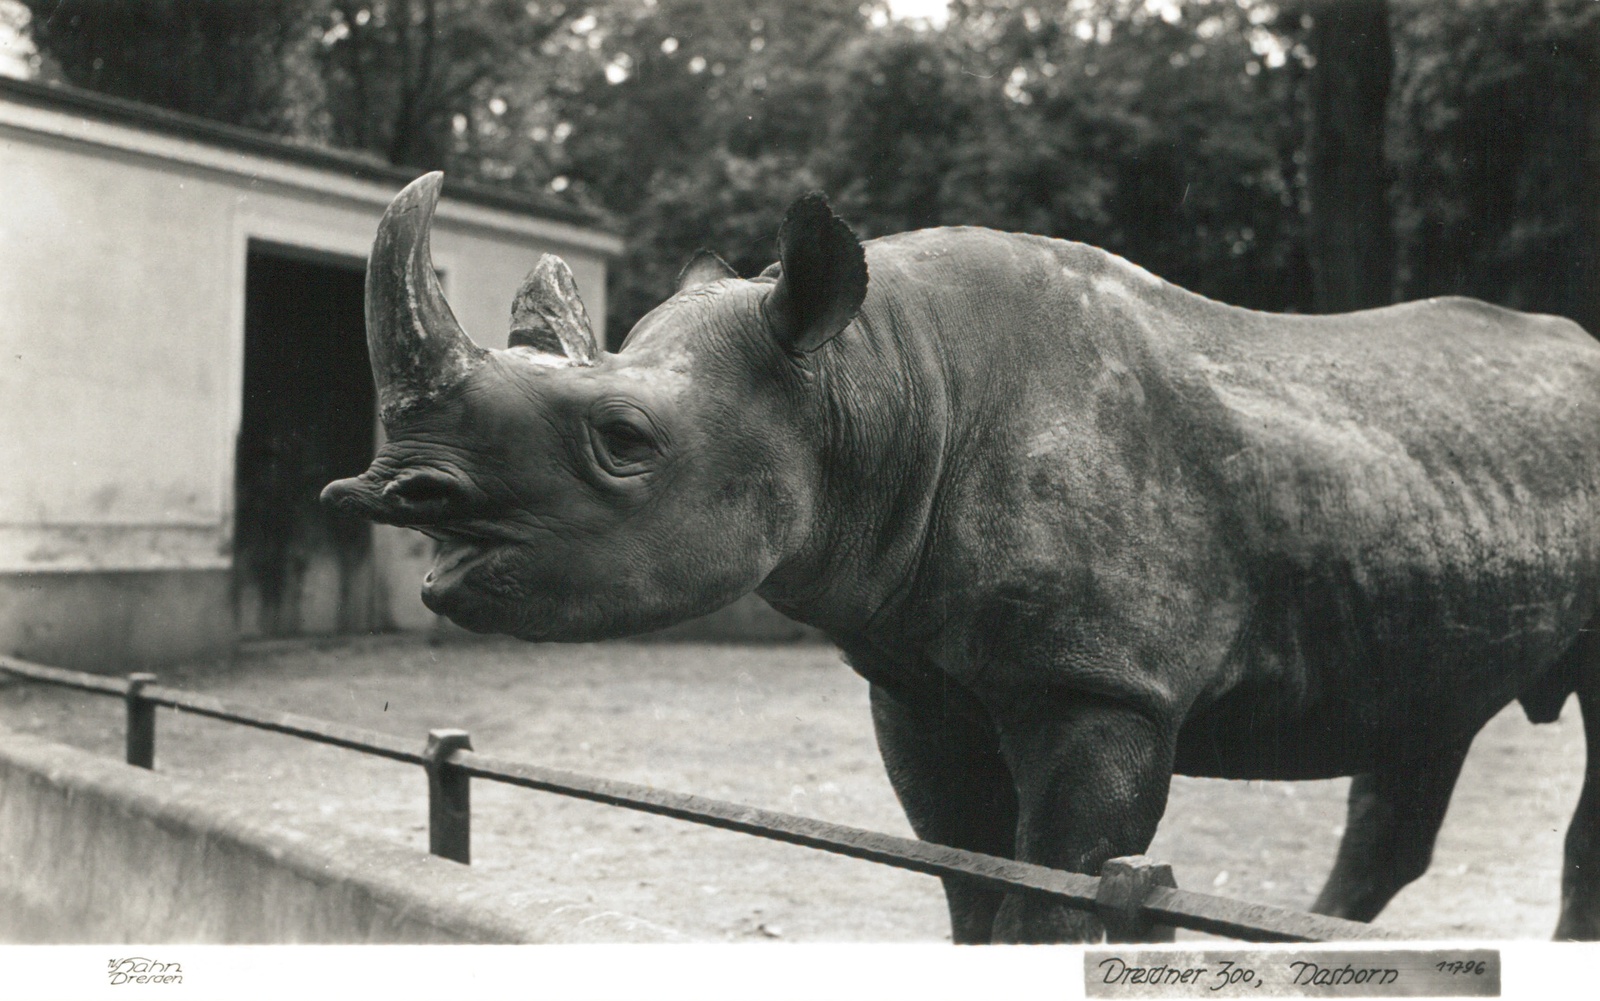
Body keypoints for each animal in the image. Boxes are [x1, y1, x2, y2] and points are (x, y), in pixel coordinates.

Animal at [323, 172, 1600, 943]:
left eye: (624, 441)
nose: (391, 492)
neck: (865, 377)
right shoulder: (912, 675)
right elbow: (968, 878)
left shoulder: (1100, 685)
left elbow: (1054, 885)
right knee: (1420, 725)